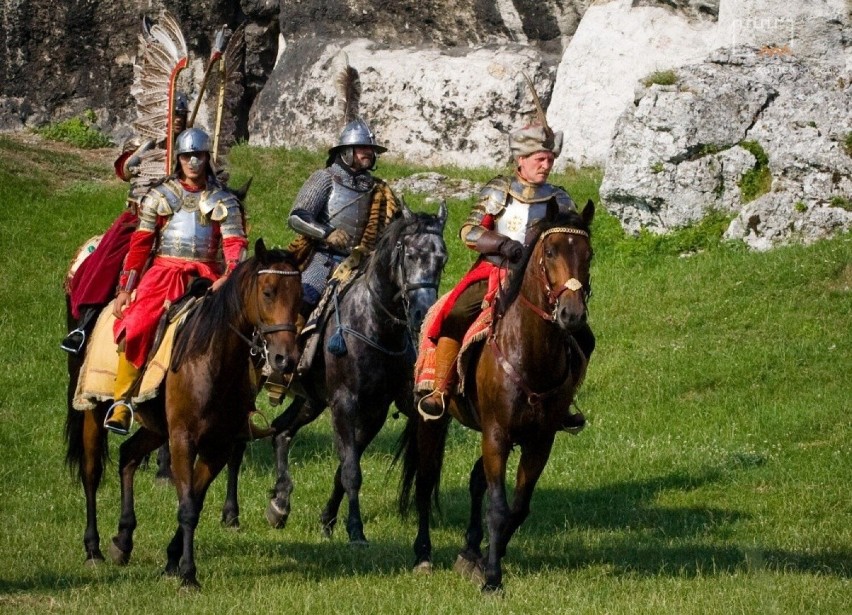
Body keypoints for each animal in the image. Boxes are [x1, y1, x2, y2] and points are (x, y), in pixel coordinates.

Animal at [64, 238, 302, 588]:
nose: (286, 359)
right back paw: (93, 549)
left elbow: (195, 502)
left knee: (128, 455)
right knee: (91, 472)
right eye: (268, 292)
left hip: (155, 427)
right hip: (94, 410)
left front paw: (172, 562)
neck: (212, 358)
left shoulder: (217, 445)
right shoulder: (182, 439)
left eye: (298, 296)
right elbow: (187, 504)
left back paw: (123, 540)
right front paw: (188, 574)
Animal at [264, 206, 452, 544]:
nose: (423, 313)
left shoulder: (375, 411)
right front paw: (355, 529)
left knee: (281, 431)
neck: (375, 325)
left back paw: (280, 504)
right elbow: (351, 470)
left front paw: (328, 520)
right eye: (410, 255)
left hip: (312, 401)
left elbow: (344, 469)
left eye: (441, 259)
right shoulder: (344, 404)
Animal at [398, 201, 592, 592]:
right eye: (550, 252)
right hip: (432, 420)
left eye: (588, 254)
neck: (529, 354)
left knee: (476, 482)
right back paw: (423, 556)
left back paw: (470, 551)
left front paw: (489, 557)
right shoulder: (497, 433)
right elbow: (499, 507)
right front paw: (492, 579)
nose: (572, 314)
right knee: (425, 482)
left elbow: (517, 507)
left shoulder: (538, 440)